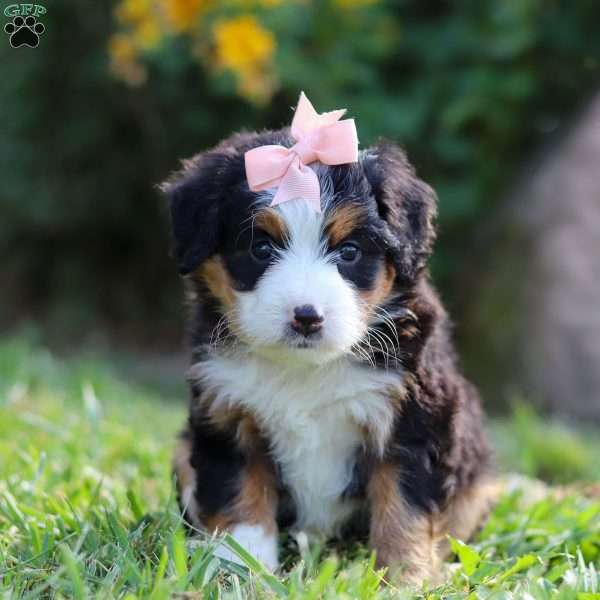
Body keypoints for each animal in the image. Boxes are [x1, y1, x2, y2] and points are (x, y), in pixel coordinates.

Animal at [163, 96, 492, 584]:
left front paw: (404, 579)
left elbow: (404, 509)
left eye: (350, 251)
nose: (306, 317)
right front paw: (242, 570)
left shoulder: (414, 418)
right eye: (260, 248)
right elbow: (240, 497)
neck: (306, 370)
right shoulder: (228, 413)